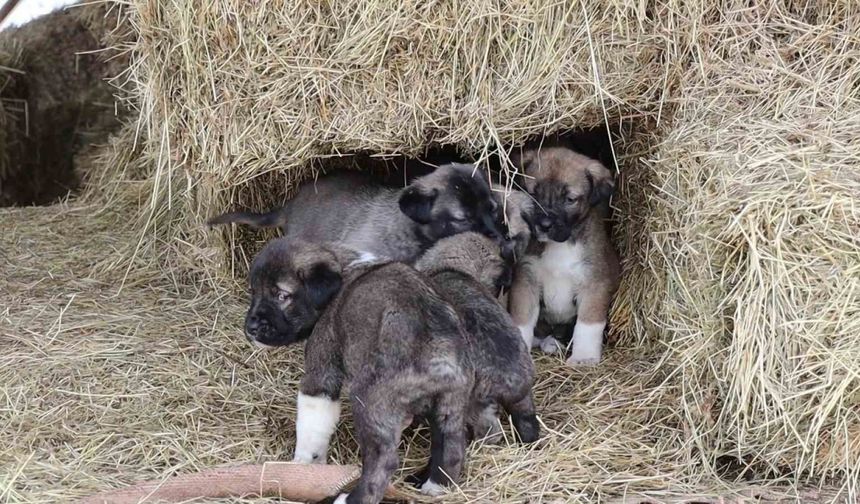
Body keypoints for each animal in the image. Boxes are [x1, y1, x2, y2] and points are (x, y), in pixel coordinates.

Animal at [414, 232, 540, 444]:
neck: (449, 268)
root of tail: (512, 378)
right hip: (523, 397)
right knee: (526, 420)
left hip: (475, 402)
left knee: (490, 431)